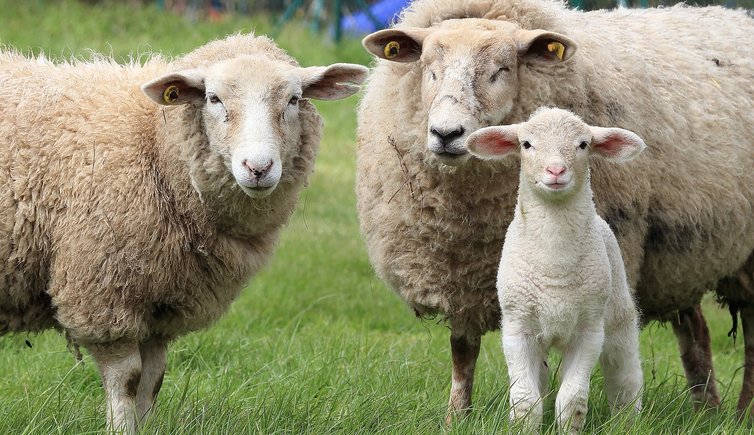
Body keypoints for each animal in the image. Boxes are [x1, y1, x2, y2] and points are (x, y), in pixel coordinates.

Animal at [0, 33, 368, 433]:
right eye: (213, 98)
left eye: (294, 99)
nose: (258, 168)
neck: (153, 142)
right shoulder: (102, 294)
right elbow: (127, 380)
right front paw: (122, 428)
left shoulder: (161, 307)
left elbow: (153, 379)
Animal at [465, 107, 644, 432]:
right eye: (526, 144)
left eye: (583, 144)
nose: (556, 171)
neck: (554, 263)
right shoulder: (517, 329)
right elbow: (526, 402)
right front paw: (524, 428)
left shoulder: (589, 331)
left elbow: (572, 401)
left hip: (617, 316)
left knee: (624, 376)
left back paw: (627, 423)